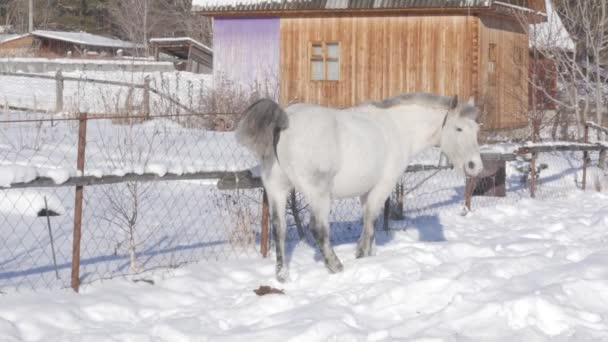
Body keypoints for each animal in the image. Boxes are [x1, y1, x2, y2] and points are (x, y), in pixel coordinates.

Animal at [235, 91, 482, 280]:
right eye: (459, 128)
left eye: (476, 129)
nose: (475, 167)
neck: (398, 127)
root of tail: (284, 120)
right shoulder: (381, 188)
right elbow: (370, 223)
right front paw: (361, 255)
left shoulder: (366, 192)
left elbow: (370, 226)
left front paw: (370, 254)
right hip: (318, 195)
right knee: (318, 229)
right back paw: (335, 266)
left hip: (277, 189)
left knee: (279, 228)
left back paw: (282, 275)